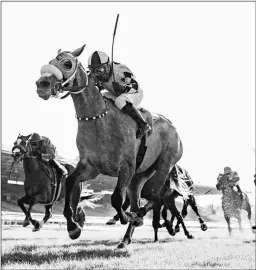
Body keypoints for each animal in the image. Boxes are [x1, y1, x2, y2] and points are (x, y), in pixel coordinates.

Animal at [36, 46, 192, 247]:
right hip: (140, 175)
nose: (42, 84)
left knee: (155, 196)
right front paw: (73, 227)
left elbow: (117, 199)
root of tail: (175, 130)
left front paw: (125, 216)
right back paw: (125, 238)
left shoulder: (126, 167)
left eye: (67, 63)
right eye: (51, 61)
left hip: (165, 164)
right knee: (139, 198)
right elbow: (71, 182)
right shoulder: (90, 167)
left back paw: (138, 217)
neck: (99, 121)